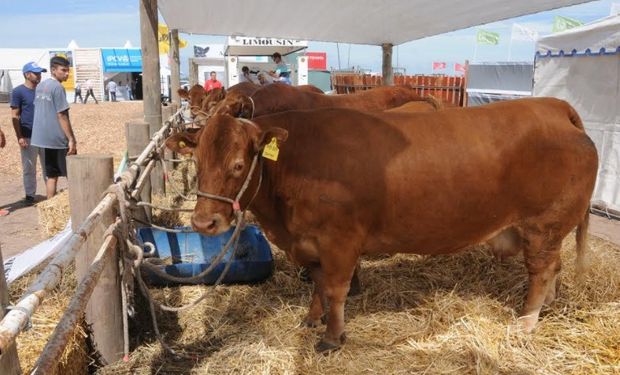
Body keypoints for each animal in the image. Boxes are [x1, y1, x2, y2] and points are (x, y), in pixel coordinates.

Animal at [165, 98, 596, 354]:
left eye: (238, 165)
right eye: (197, 162)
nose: (204, 221)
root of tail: (550, 107)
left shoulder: (339, 241)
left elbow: (336, 290)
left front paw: (332, 337)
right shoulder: (310, 243)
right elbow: (318, 285)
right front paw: (312, 318)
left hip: (543, 226)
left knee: (541, 270)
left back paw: (526, 321)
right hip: (549, 230)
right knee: (553, 267)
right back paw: (548, 306)